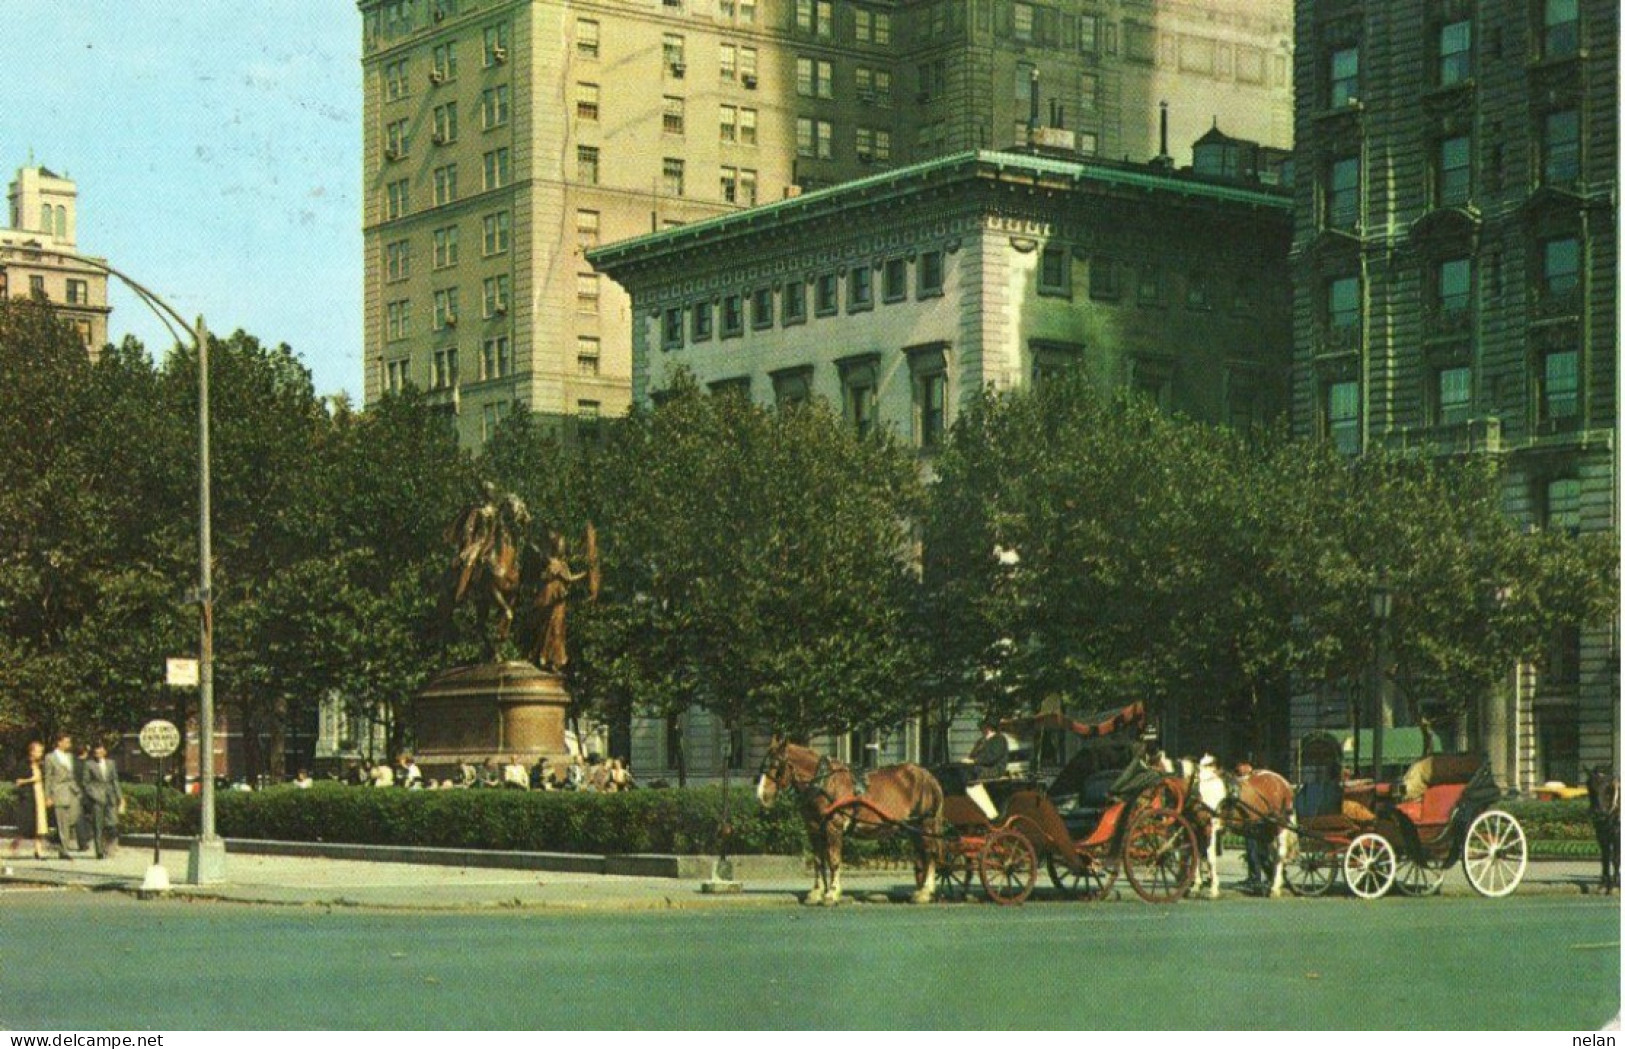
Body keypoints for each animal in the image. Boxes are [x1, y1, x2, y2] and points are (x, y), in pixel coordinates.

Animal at [757, 737, 949, 909]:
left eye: (776, 765)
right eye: (764, 764)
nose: (761, 796)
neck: (824, 783)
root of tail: (928, 776)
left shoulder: (833, 826)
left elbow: (834, 860)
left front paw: (832, 893)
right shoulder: (813, 829)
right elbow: (818, 860)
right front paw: (816, 892)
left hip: (925, 823)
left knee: (930, 853)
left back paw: (925, 891)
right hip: (913, 827)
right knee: (921, 855)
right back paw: (919, 891)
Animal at [1196, 756, 1293, 902]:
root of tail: (1284, 783)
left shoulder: (1209, 828)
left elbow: (1209, 858)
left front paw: (1213, 890)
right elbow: (1196, 856)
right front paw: (1195, 886)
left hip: (1280, 825)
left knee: (1280, 854)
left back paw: (1275, 888)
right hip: (1266, 827)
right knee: (1271, 855)